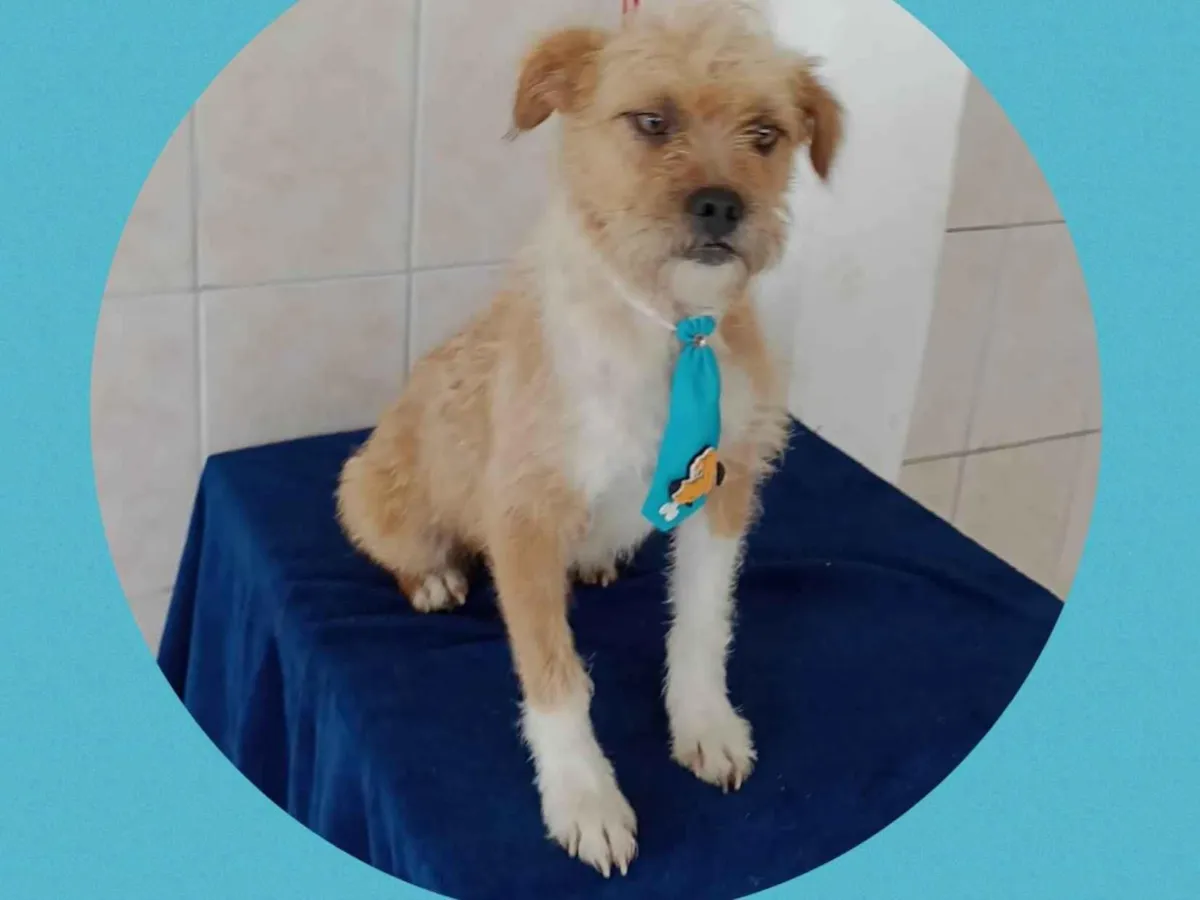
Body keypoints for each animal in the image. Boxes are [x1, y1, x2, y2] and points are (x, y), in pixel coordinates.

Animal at [337, 0, 841, 877]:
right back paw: (431, 577)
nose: (721, 206)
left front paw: (705, 723)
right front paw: (584, 798)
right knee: (395, 543)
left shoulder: (723, 489)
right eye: (651, 121)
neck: (670, 327)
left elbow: (704, 622)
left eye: (765, 133)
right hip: (373, 491)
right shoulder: (523, 521)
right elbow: (556, 678)